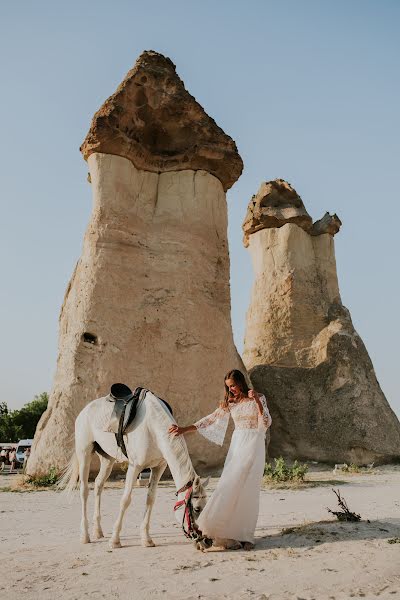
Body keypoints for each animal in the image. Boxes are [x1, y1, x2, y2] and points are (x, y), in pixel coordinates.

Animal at [60, 390, 209, 548]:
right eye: (197, 508)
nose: (206, 541)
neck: (152, 427)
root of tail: (85, 410)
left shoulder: (159, 467)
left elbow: (150, 499)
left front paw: (146, 539)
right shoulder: (135, 467)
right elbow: (125, 500)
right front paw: (115, 540)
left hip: (107, 459)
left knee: (98, 484)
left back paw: (98, 531)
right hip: (84, 453)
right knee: (84, 491)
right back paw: (85, 535)